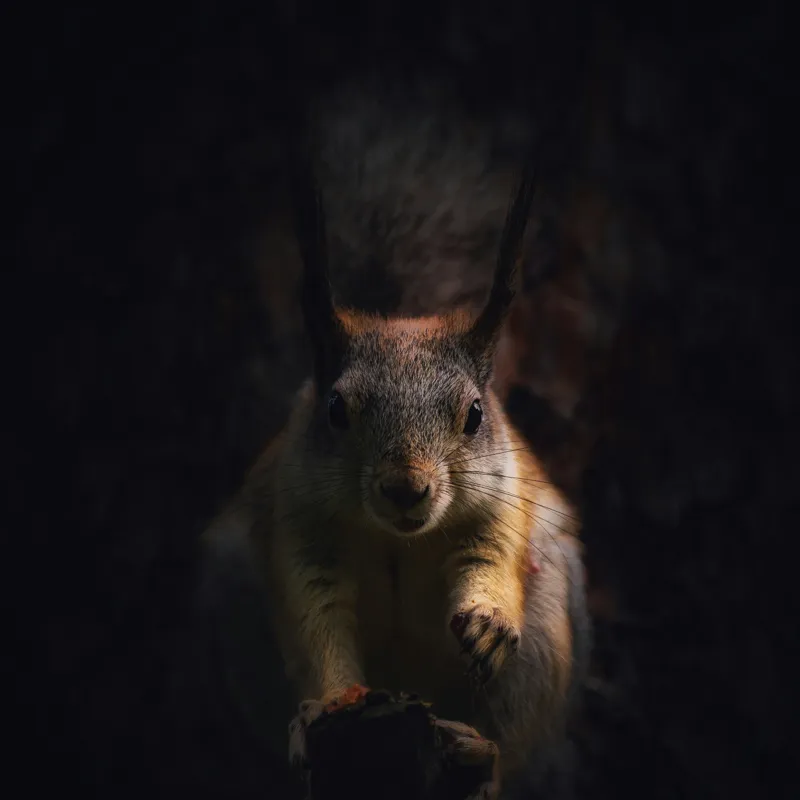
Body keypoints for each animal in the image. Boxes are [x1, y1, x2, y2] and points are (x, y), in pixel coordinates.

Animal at [197, 158, 591, 799]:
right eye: (335, 409)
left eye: (475, 414)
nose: (406, 489)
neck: (397, 537)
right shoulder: (296, 519)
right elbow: (316, 617)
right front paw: (331, 702)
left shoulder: (504, 501)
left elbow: (489, 559)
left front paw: (487, 621)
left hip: (543, 644)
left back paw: (480, 754)